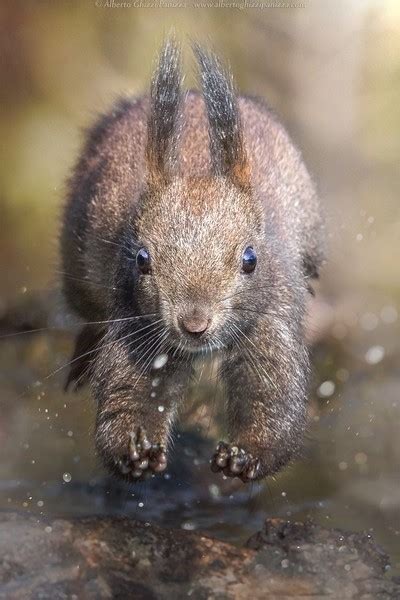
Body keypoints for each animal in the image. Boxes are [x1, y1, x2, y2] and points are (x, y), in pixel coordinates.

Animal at [60, 39, 324, 482]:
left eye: (250, 259)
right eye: (142, 259)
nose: (194, 324)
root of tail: (195, 97)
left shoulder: (271, 316)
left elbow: (274, 397)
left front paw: (244, 455)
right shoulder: (136, 324)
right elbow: (129, 390)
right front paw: (135, 450)